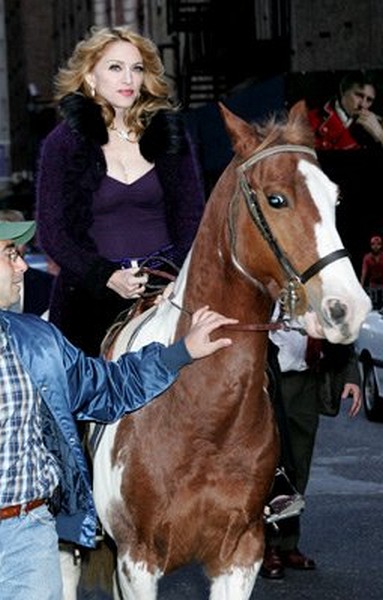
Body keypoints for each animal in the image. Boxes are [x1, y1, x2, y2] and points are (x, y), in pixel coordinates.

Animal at [91, 101, 370, 596]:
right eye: (276, 199)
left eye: (335, 199)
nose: (348, 309)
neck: (200, 414)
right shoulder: (135, 560)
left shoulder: (240, 554)